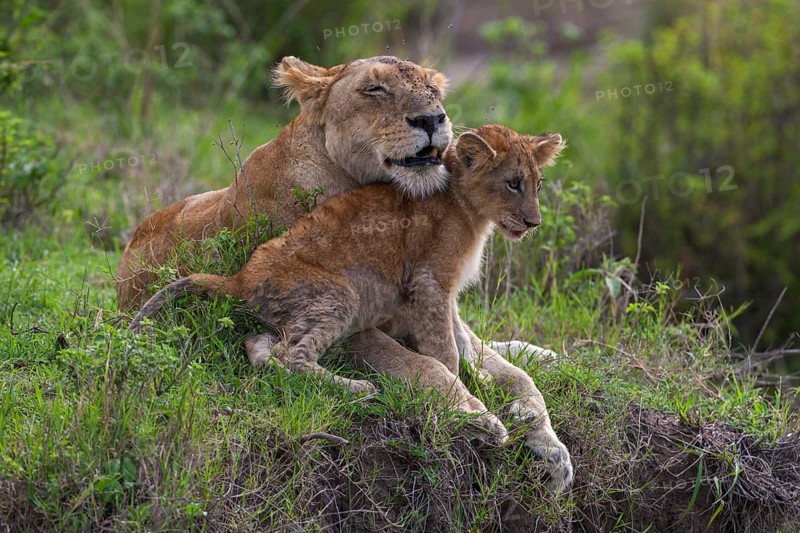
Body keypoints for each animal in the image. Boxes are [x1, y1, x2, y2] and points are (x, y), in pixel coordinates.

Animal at [130, 125, 573, 491]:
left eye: (538, 184)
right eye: (513, 184)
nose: (534, 222)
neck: (468, 209)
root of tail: (238, 279)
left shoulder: (447, 301)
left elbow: (510, 374)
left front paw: (549, 447)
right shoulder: (430, 284)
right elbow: (441, 361)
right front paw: (475, 414)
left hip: (293, 315)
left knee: (261, 347)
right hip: (342, 296)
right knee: (294, 354)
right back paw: (360, 388)